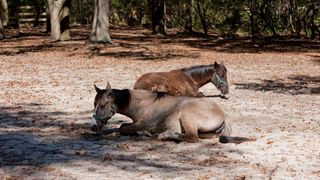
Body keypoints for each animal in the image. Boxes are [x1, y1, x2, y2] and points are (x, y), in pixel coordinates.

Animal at [91, 83, 254, 143]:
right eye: (94, 104)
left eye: (103, 105)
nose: (94, 126)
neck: (145, 104)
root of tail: (222, 116)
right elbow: (122, 126)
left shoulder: (145, 123)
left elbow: (123, 128)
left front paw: (145, 133)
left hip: (187, 117)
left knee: (192, 137)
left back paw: (165, 135)